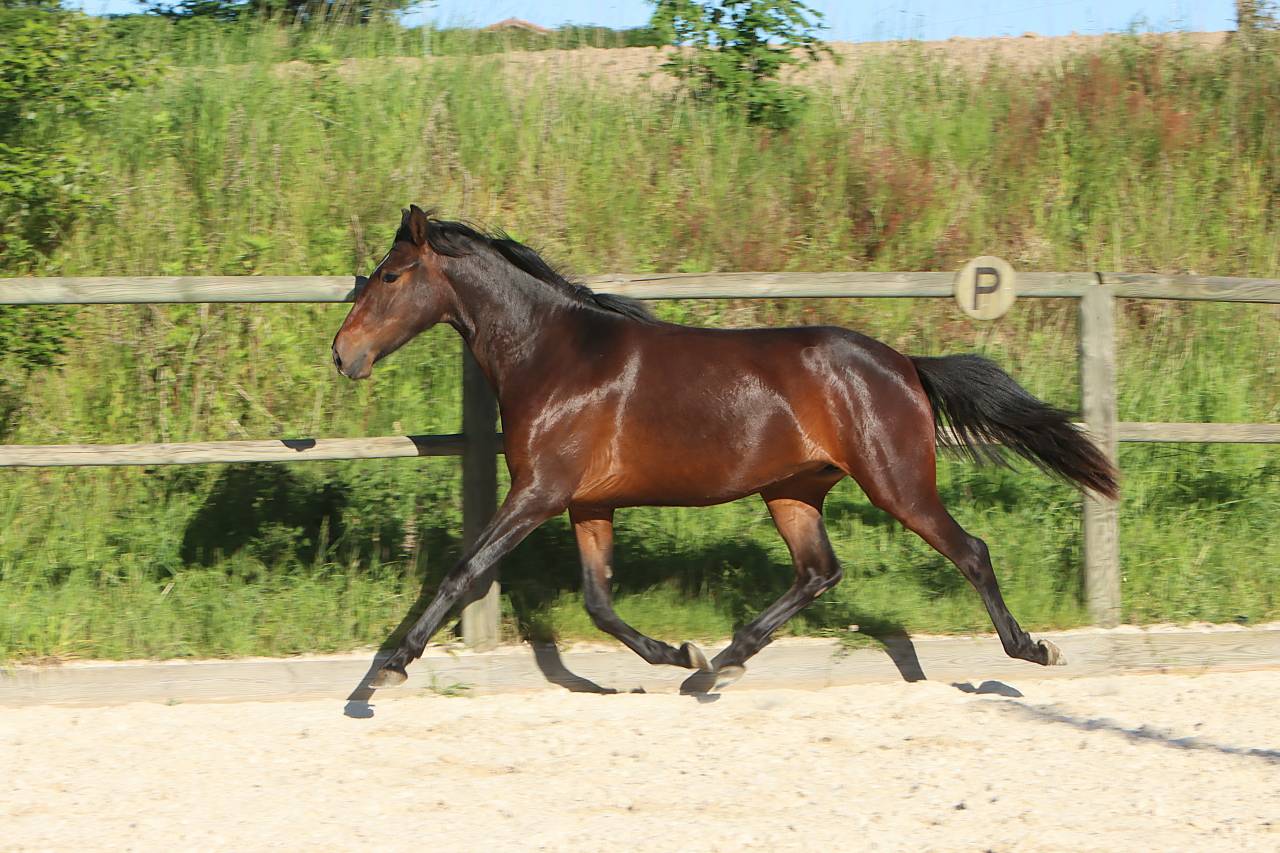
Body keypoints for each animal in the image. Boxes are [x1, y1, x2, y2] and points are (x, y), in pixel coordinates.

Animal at [332, 205, 1118, 691]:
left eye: (391, 275)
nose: (343, 354)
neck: (557, 355)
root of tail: (903, 364)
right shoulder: (586, 502)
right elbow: (598, 601)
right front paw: (676, 649)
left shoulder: (538, 492)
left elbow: (464, 571)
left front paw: (386, 669)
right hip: (793, 490)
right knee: (818, 572)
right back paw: (717, 665)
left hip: (897, 483)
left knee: (969, 551)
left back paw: (1031, 648)